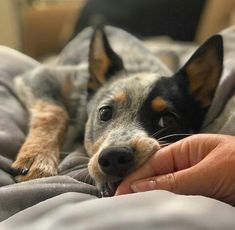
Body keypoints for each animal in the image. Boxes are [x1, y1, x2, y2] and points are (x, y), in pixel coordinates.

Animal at [11, 26, 223, 196]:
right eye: (104, 113)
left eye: (168, 120)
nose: (114, 156)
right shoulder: (40, 76)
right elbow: (55, 112)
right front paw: (37, 157)